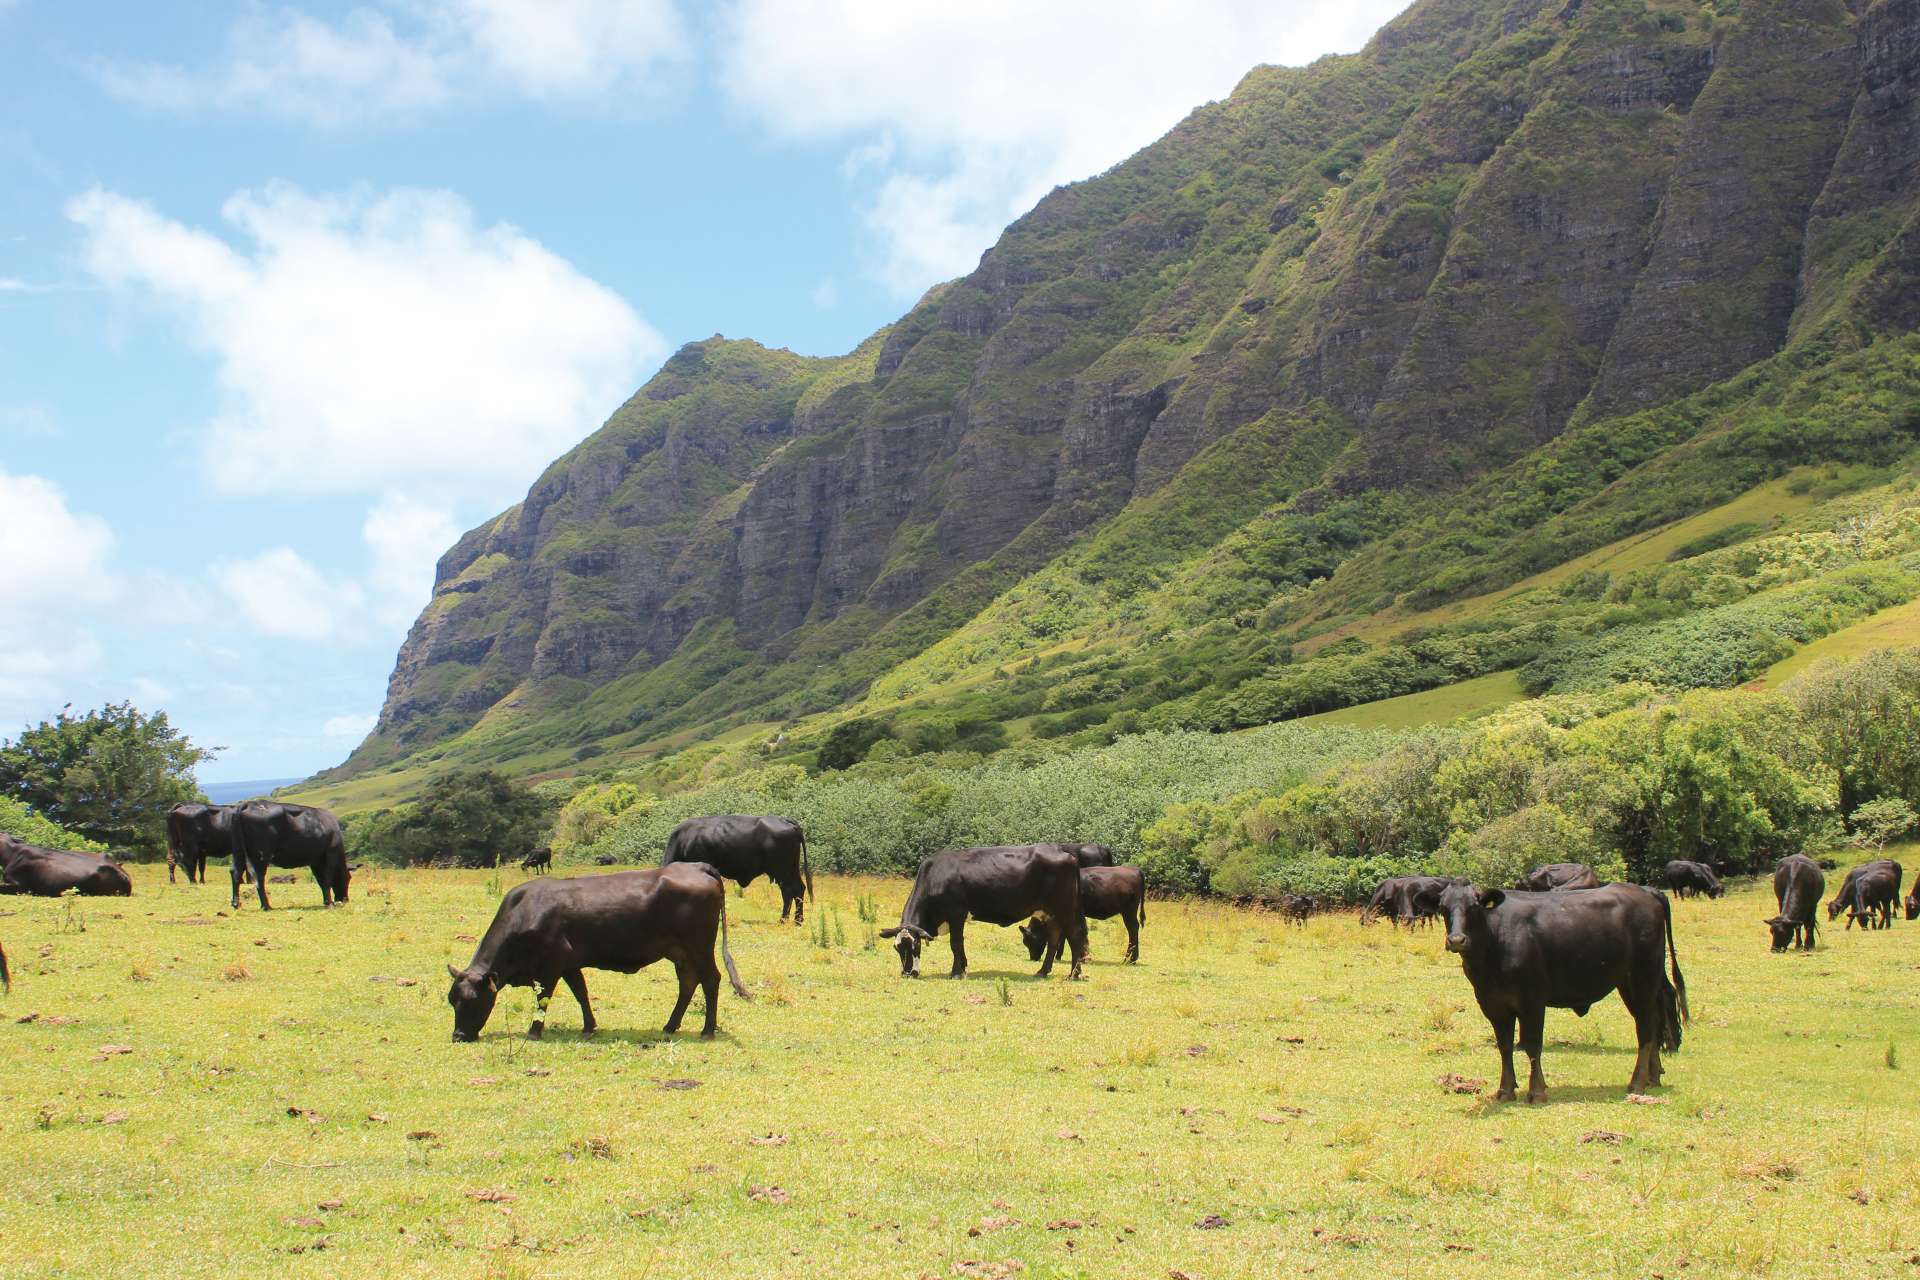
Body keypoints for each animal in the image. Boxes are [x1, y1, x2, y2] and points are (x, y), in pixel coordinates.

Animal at [445, 859, 744, 1043]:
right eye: (452, 1000)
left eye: (472, 1000)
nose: (458, 1036)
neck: (525, 912)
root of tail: (697, 866)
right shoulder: (569, 964)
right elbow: (581, 994)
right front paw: (589, 1027)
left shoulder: (550, 965)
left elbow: (543, 999)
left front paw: (534, 1031)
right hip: (680, 953)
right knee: (688, 983)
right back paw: (670, 1025)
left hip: (700, 947)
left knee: (711, 980)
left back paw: (707, 1030)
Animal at [668, 817, 810, 924]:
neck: (684, 840)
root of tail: (786, 821)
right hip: (792, 869)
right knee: (799, 889)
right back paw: (798, 920)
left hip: (781, 871)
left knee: (788, 892)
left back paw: (783, 920)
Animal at [879, 852, 1090, 982]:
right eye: (897, 948)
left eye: (915, 945)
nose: (908, 973)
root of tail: (1068, 855)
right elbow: (961, 945)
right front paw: (963, 967)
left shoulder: (956, 914)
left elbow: (955, 944)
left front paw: (956, 973)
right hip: (1049, 912)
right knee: (1054, 940)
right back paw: (1043, 971)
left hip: (1065, 909)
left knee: (1075, 938)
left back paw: (1074, 974)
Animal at [1436, 886, 1689, 1105]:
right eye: (1443, 908)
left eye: (1474, 906)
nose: (1457, 940)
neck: (1494, 945)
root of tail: (1645, 890)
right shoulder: (1493, 1005)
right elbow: (1505, 1047)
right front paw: (1505, 1091)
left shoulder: (1533, 1001)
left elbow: (1532, 1045)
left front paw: (1537, 1092)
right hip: (1631, 984)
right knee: (1653, 1022)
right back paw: (1652, 1077)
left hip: (1643, 978)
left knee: (1645, 1029)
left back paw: (1636, 1083)